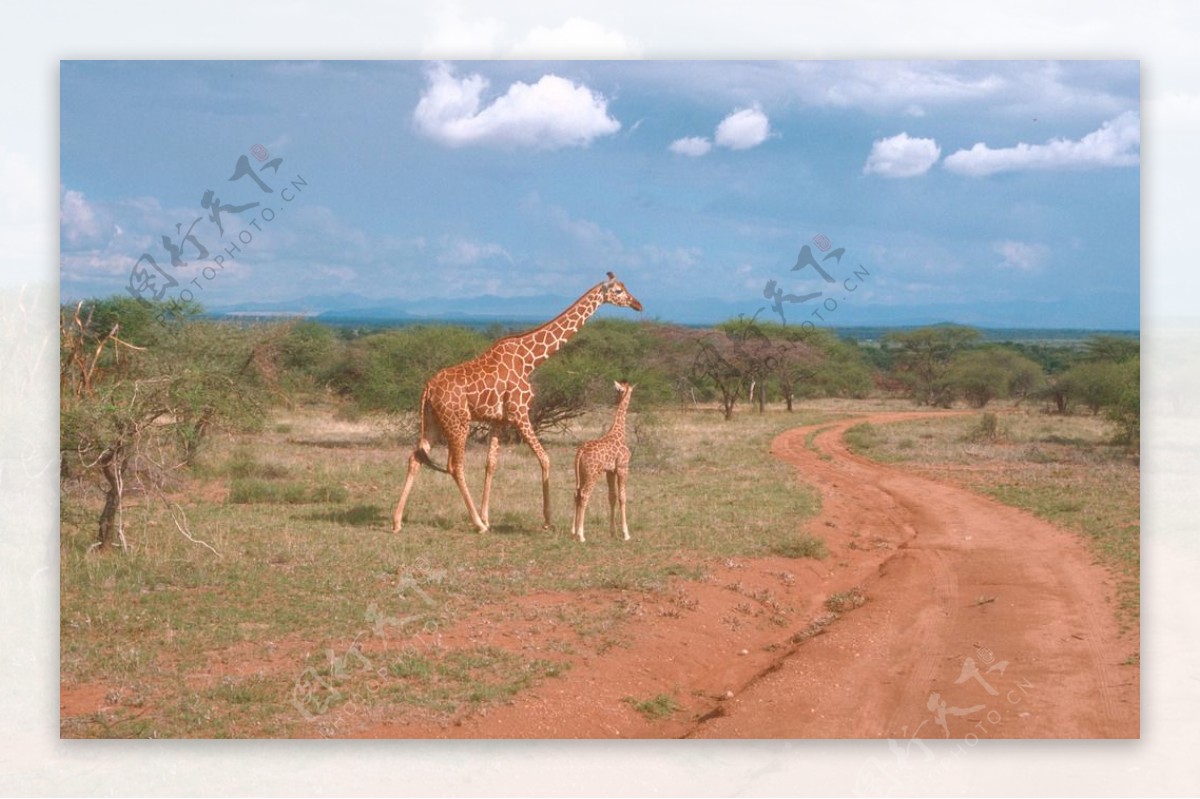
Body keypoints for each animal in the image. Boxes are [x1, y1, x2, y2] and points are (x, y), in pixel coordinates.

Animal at [573, 379, 638, 542]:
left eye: (617, 391)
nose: (615, 399)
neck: (619, 431)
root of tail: (580, 451)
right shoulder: (622, 468)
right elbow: (622, 497)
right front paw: (626, 534)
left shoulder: (610, 471)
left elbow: (612, 497)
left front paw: (613, 532)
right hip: (592, 474)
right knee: (584, 495)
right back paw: (581, 535)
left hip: (581, 474)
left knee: (576, 493)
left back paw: (573, 532)